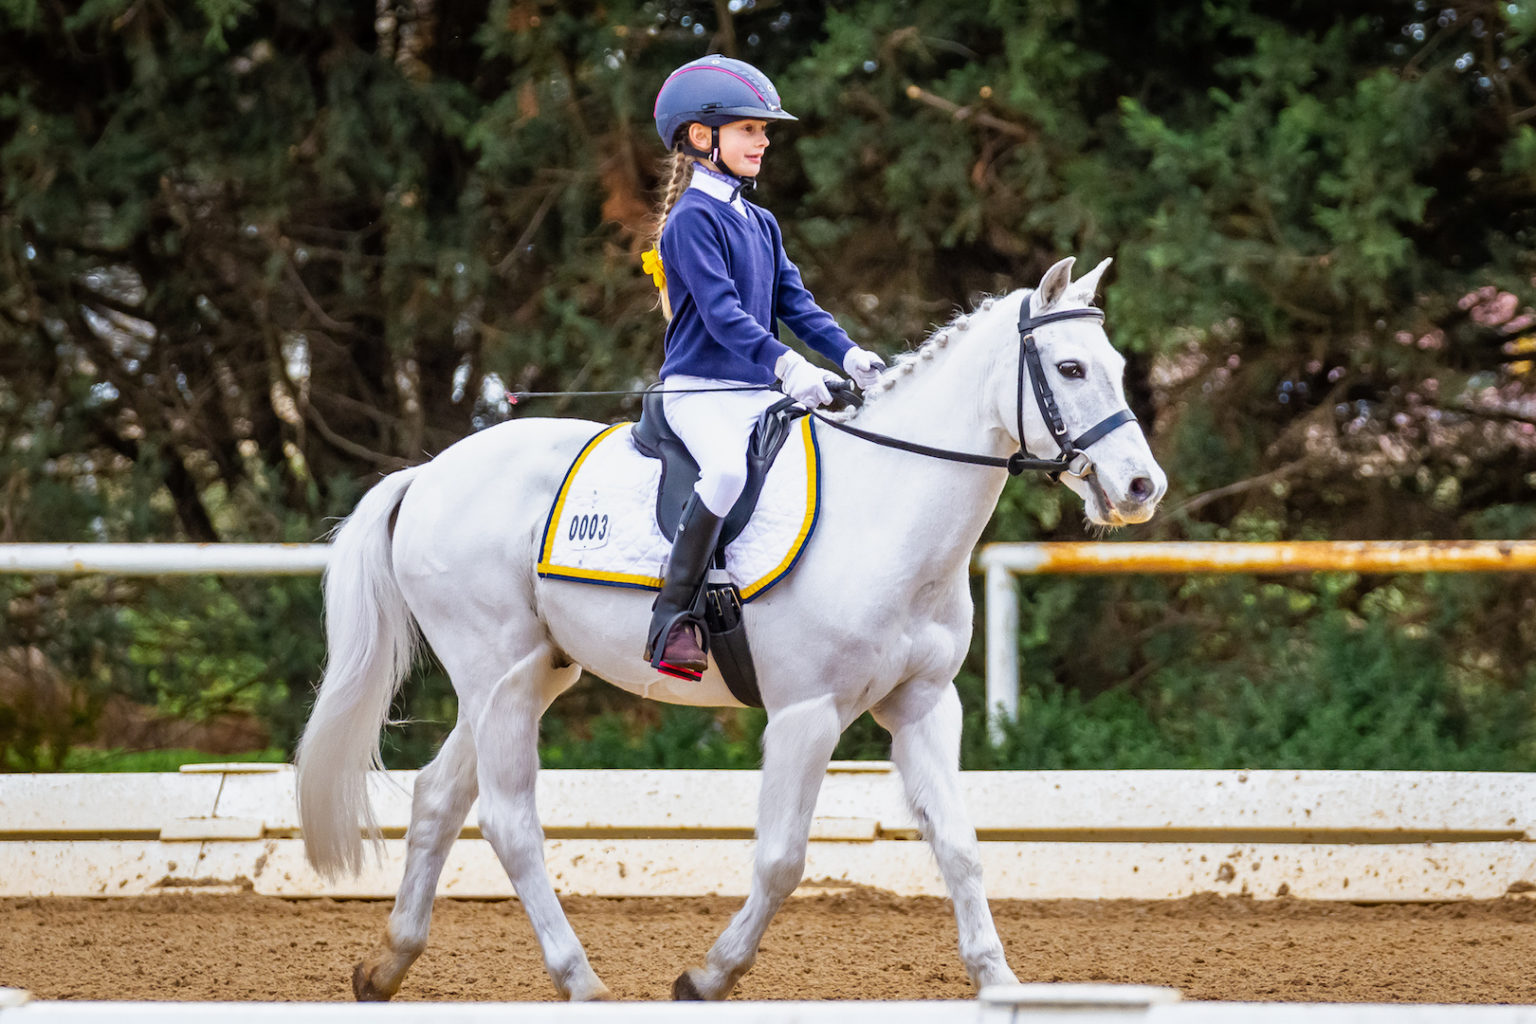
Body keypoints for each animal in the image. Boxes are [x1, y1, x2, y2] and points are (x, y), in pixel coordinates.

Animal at [296, 254, 1161, 1000]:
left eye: (1115, 364)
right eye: (1071, 369)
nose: (1141, 487)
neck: (888, 507)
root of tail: (428, 474)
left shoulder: (923, 705)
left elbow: (959, 843)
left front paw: (1000, 981)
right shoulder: (806, 715)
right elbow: (781, 859)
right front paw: (707, 977)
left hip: (533, 672)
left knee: (439, 797)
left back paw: (386, 968)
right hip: (496, 673)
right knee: (510, 822)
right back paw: (581, 981)